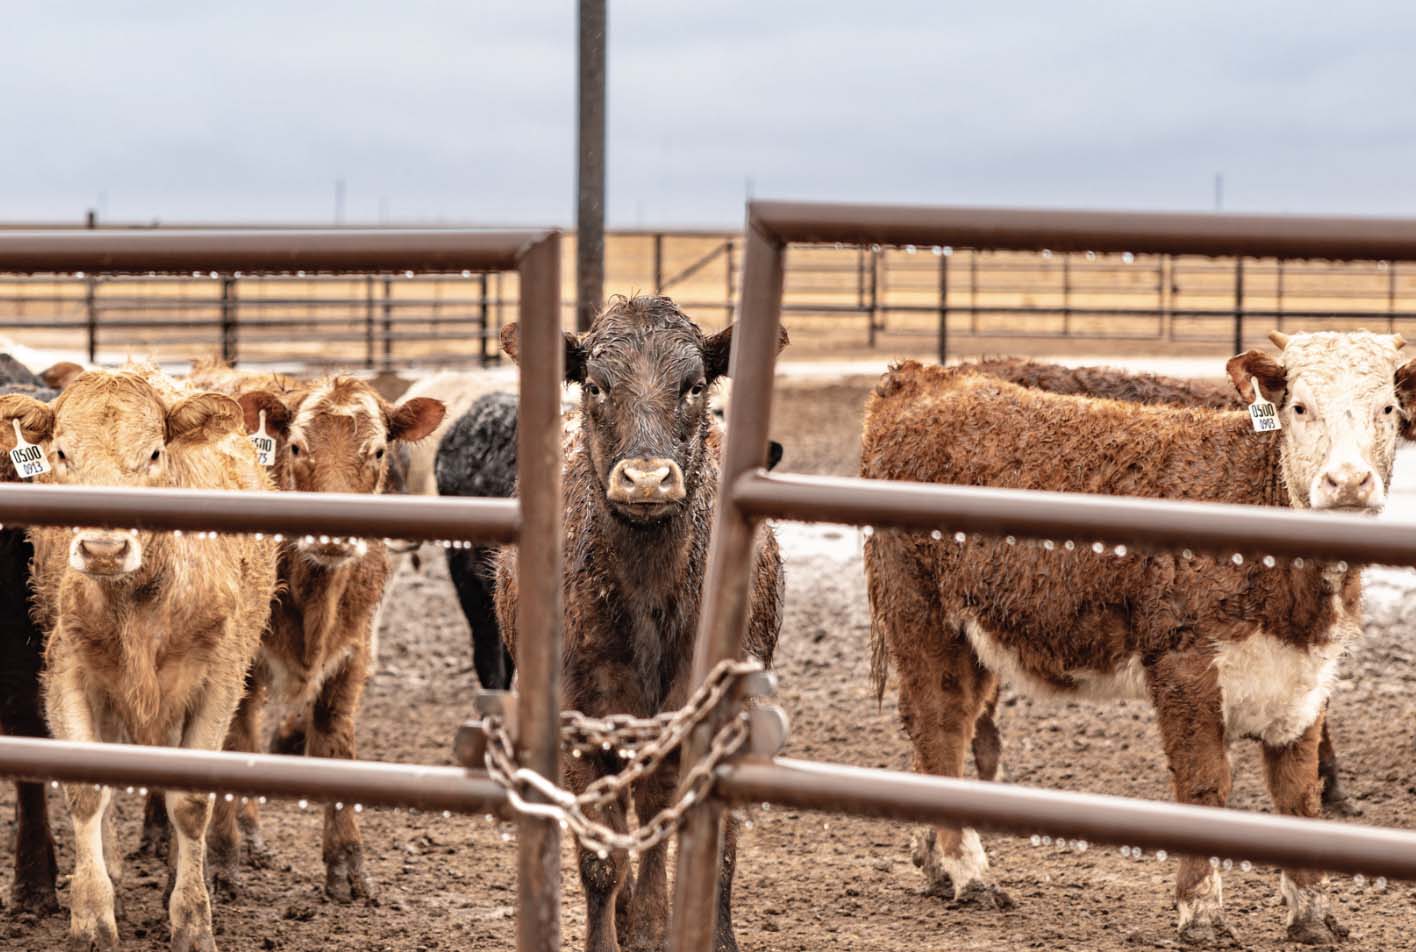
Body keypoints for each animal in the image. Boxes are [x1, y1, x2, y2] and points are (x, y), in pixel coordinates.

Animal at [0, 366, 278, 952]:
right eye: (61, 452)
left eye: (153, 453)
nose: (103, 549)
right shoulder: (68, 674)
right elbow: (87, 792)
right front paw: (92, 918)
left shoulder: (217, 683)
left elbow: (190, 804)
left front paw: (192, 920)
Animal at [197, 373, 444, 901]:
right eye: (296, 446)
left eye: (377, 451)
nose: (334, 535)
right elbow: (232, 743)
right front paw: (221, 856)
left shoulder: (352, 654)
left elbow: (334, 742)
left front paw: (347, 862)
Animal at [494, 295, 786, 952]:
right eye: (596, 385)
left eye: (694, 385)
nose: (647, 479)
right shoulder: (578, 722)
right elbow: (603, 858)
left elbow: (666, 823)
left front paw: (654, 926)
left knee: (720, 843)